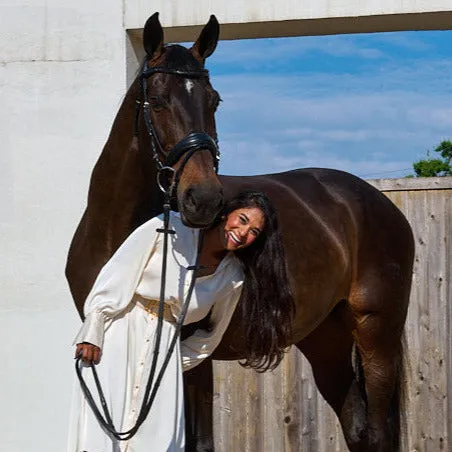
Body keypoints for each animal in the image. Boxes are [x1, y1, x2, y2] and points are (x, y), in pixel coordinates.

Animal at [65, 12, 414, 452]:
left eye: (214, 100)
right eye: (157, 100)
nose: (204, 199)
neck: (114, 231)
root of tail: (376, 201)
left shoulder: (189, 353)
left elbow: (199, 442)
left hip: (377, 331)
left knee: (378, 431)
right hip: (326, 338)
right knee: (357, 427)